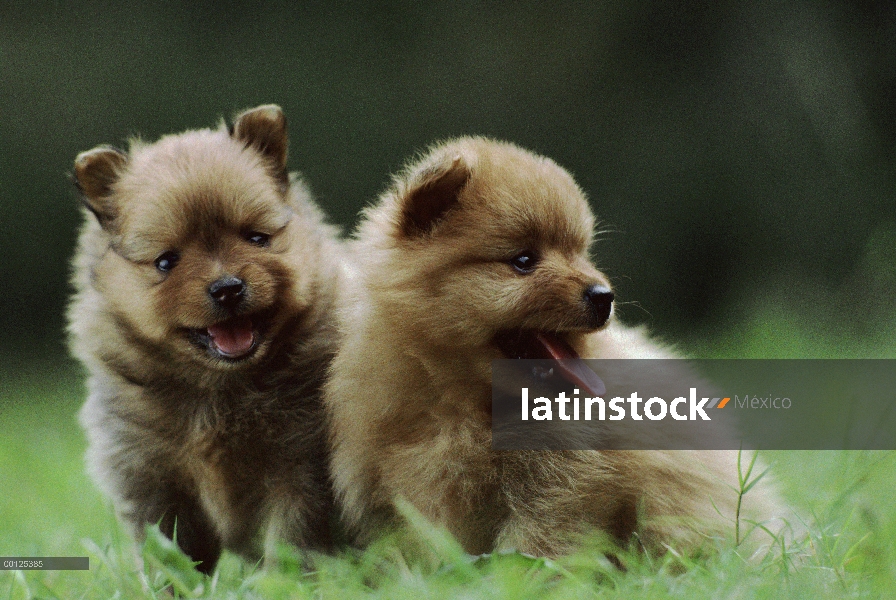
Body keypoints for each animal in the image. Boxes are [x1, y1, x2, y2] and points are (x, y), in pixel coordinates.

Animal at [69, 105, 344, 576]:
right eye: (166, 261)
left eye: (256, 238)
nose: (228, 288)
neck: (219, 389)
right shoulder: (153, 478)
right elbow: (171, 557)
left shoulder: (300, 468)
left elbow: (293, 543)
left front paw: (289, 582)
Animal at [326, 137, 788, 556]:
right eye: (524, 261)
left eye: (580, 253)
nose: (604, 296)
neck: (463, 405)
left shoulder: (560, 483)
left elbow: (536, 546)